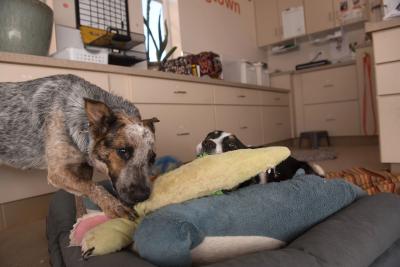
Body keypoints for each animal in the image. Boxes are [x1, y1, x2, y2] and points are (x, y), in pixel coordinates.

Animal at [0, 75, 159, 220]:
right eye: (123, 151)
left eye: (152, 158)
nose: (142, 196)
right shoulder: (57, 172)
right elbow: (93, 186)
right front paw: (115, 207)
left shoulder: (83, 169)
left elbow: (82, 194)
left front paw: (80, 219)